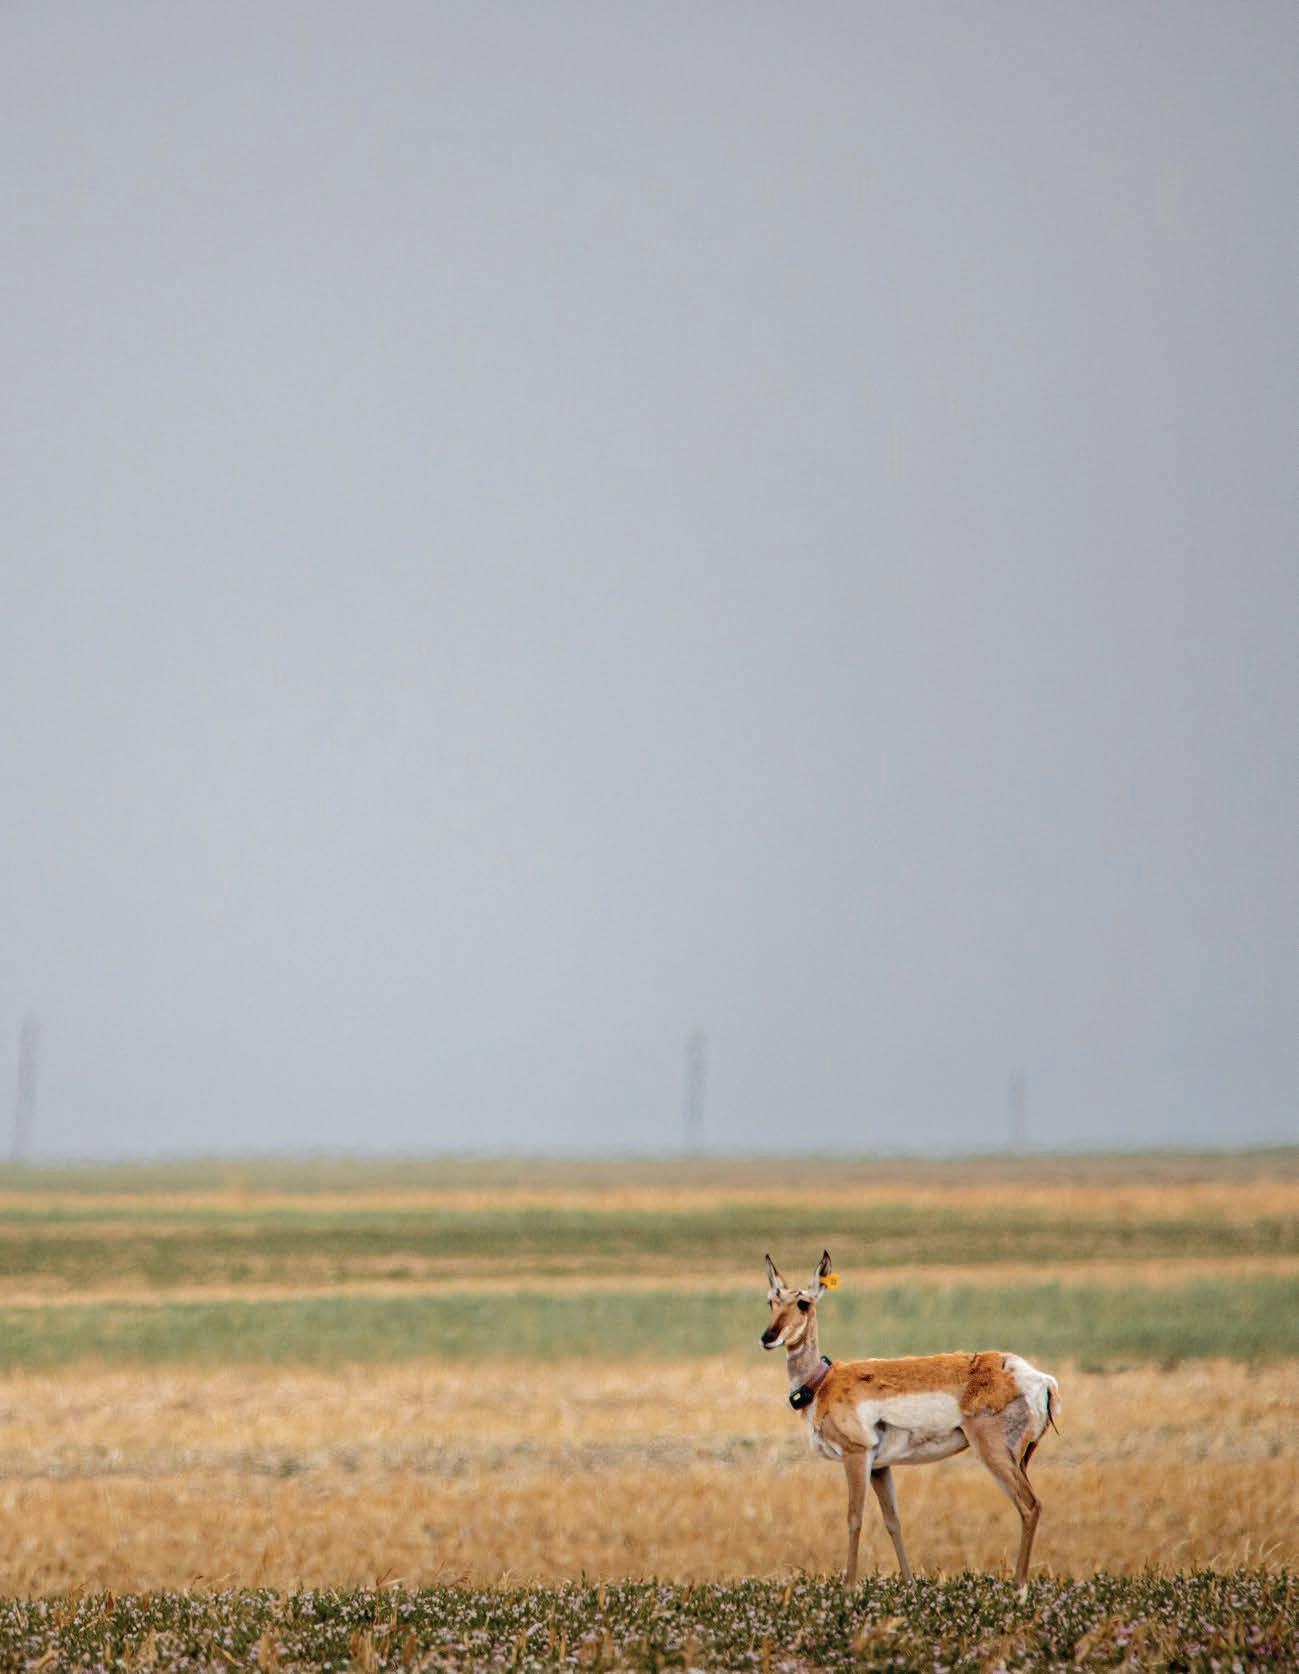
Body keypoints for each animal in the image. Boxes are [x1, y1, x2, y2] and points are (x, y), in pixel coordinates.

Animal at [761, 1251, 1059, 1587]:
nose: (768, 1337)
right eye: (771, 1300)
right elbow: (893, 1520)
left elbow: (854, 1518)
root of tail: (1037, 1378)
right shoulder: (880, 1467)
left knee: (1030, 1506)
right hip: (1019, 1460)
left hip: (994, 1455)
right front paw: (909, 1583)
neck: (824, 1381)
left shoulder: (856, 1456)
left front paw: (849, 1586)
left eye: (803, 1303)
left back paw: (1019, 1585)